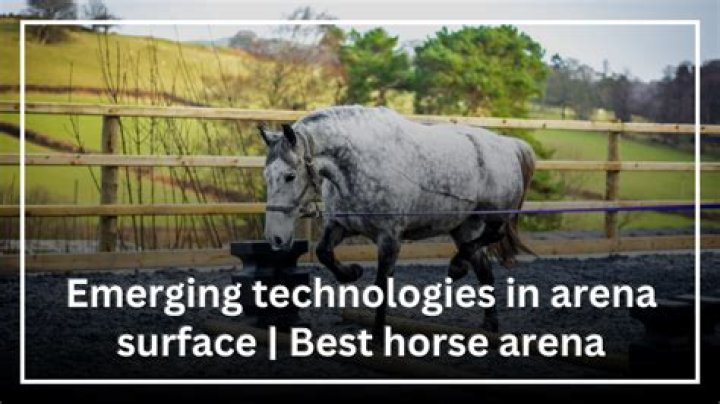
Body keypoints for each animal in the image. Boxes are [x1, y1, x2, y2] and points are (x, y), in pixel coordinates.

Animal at [258, 105, 535, 335]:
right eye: (267, 175)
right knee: (484, 268)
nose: (275, 238)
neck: (360, 164)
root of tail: (510, 145)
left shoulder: (390, 239)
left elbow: (381, 287)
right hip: (464, 227)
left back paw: (457, 267)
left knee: (494, 236)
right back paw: (488, 321)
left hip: (494, 214)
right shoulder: (341, 225)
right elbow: (324, 252)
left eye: (290, 176)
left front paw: (378, 337)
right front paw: (352, 272)